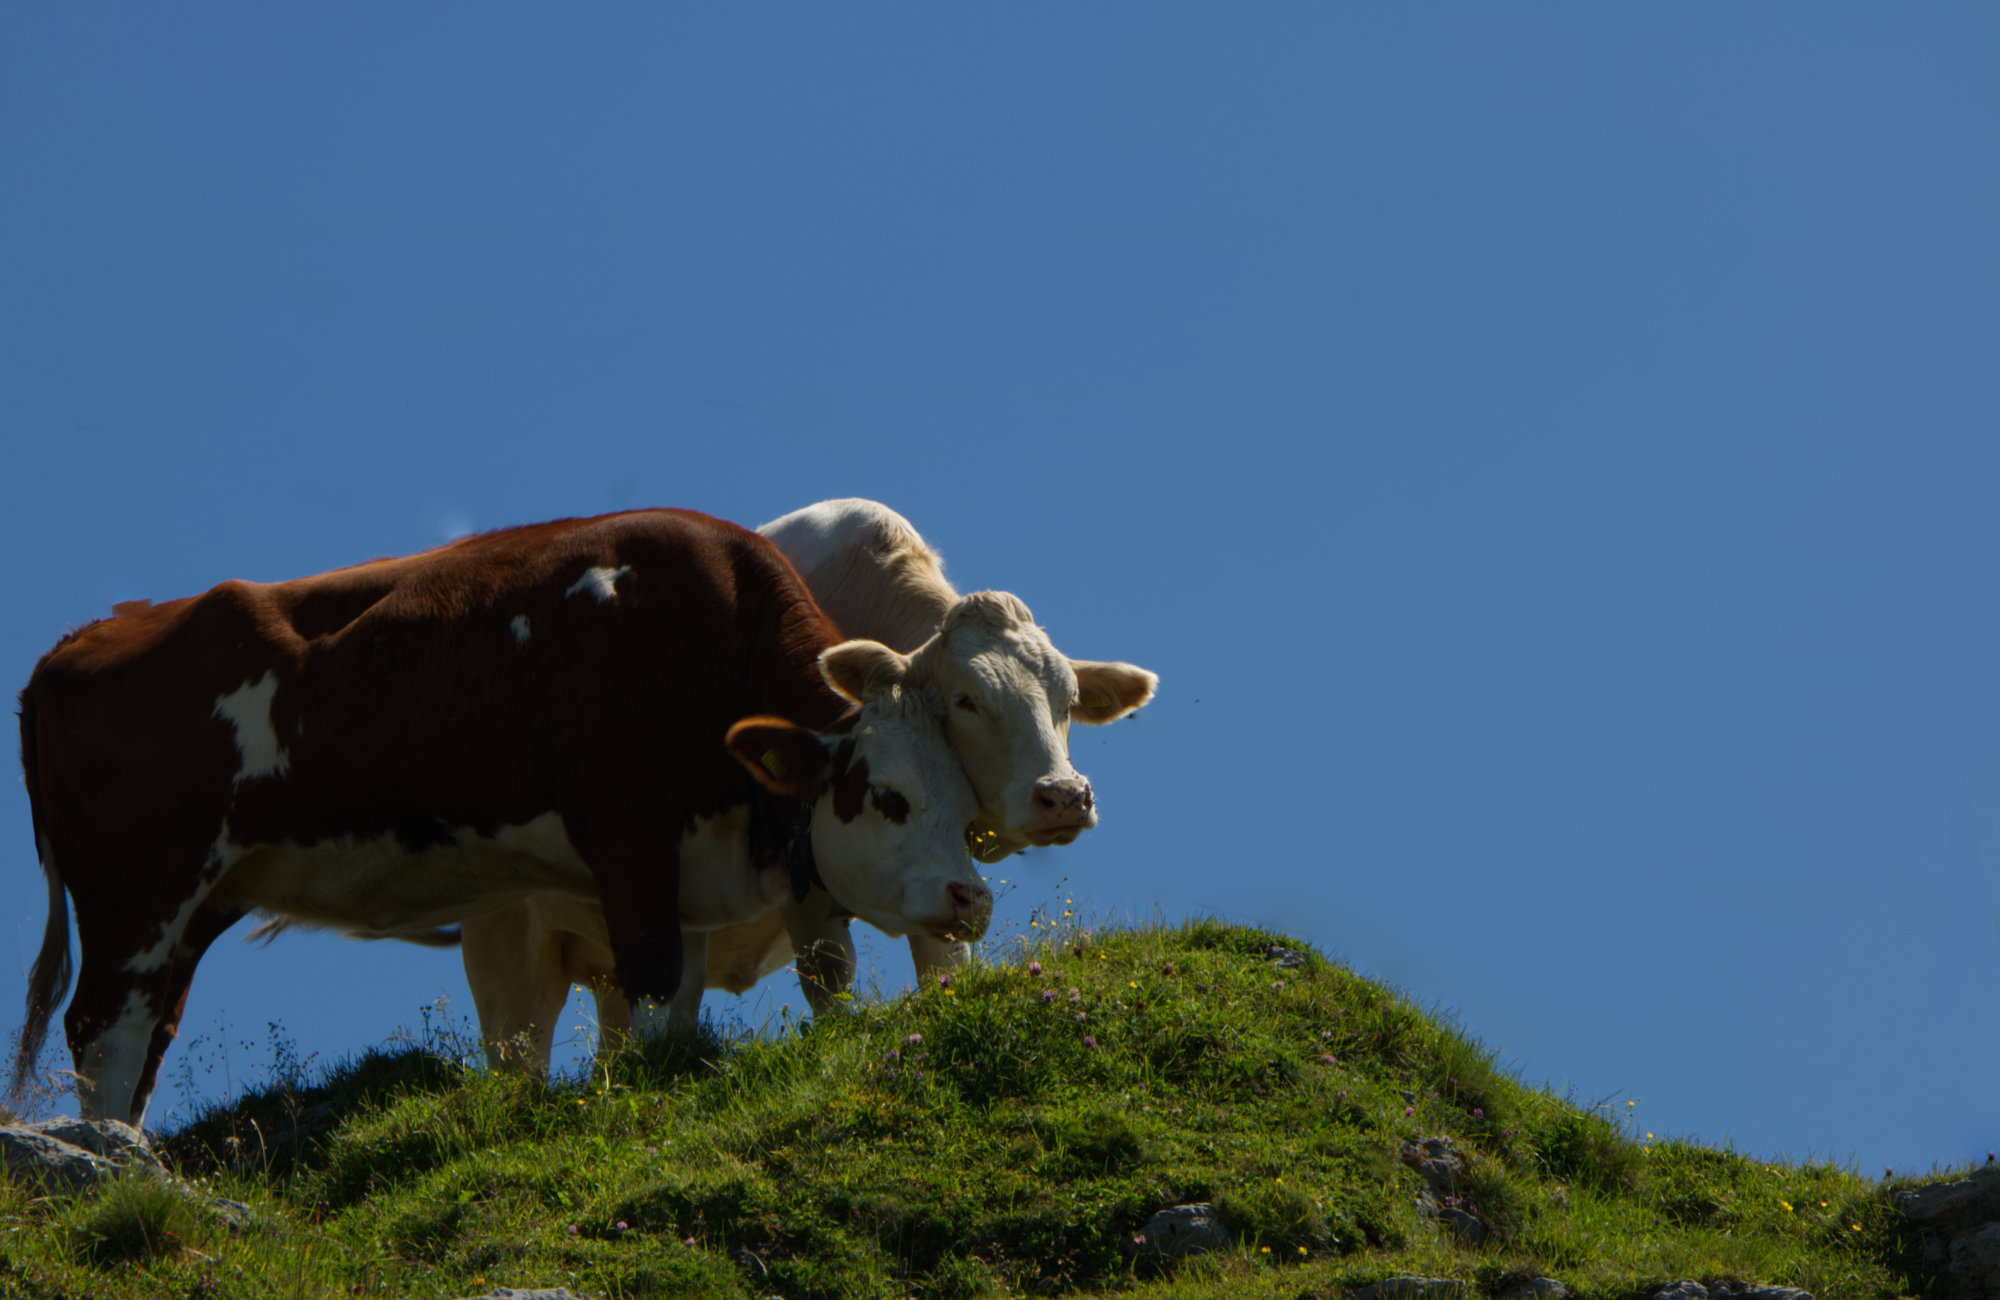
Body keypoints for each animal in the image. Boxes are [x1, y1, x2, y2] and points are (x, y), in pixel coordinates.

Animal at [5, 508, 992, 1120]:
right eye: (891, 798)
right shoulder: (628, 831)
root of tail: (78, 642)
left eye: (968, 798)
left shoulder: (690, 857)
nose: (971, 899)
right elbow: (651, 979)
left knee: (149, 1029)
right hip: (139, 895)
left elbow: (680, 992)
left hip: (203, 898)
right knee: (104, 1030)